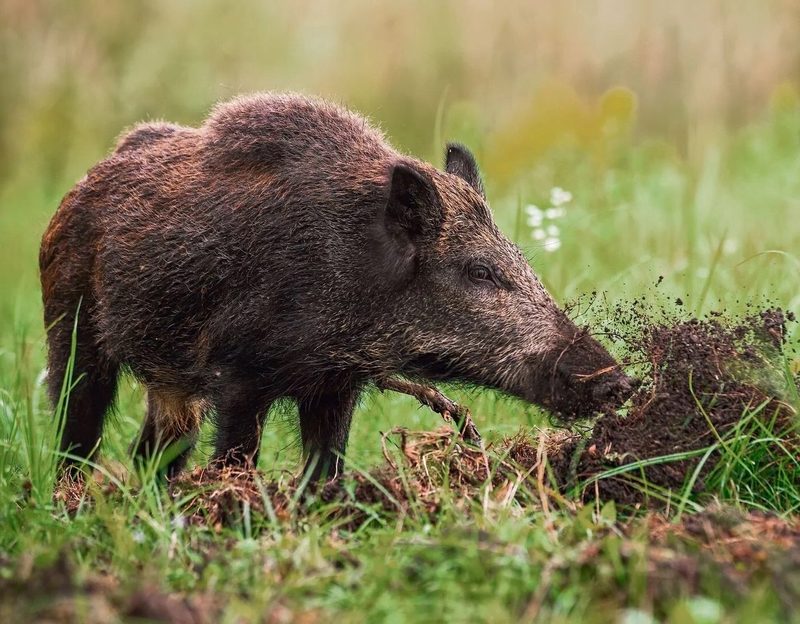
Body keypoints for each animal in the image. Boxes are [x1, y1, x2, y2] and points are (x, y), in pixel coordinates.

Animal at [39, 93, 633, 481]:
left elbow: (326, 468)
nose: (619, 382)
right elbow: (236, 457)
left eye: (519, 260)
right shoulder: (238, 375)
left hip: (171, 384)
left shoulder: (334, 384)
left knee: (152, 450)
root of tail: (89, 178)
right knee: (77, 426)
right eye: (479, 271)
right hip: (71, 328)